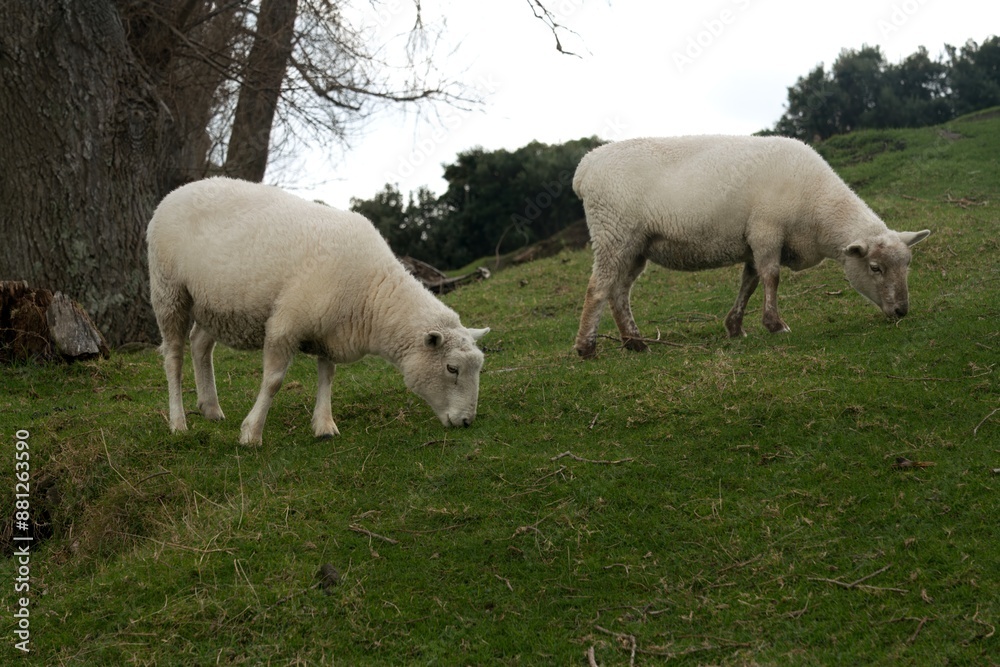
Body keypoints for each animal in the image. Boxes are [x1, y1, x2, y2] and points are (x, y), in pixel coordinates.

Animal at [147, 176, 489, 445]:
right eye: (452, 368)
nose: (467, 422)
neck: (372, 294)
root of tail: (176, 192)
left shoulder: (330, 329)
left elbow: (328, 376)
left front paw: (324, 425)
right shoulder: (286, 323)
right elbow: (273, 381)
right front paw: (251, 433)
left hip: (214, 303)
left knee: (200, 345)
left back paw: (211, 408)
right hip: (169, 290)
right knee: (174, 357)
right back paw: (178, 422)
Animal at [572, 136, 931, 358]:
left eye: (907, 264)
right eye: (875, 268)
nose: (902, 311)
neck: (817, 207)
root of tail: (584, 167)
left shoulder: (753, 239)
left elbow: (750, 280)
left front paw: (735, 327)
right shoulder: (767, 229)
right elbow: (771, 276)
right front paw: (775, 325)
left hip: (634, 245)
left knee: (620, 291)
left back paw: (635, 343)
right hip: (613, 232)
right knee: (598, 287)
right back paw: (587, 348)